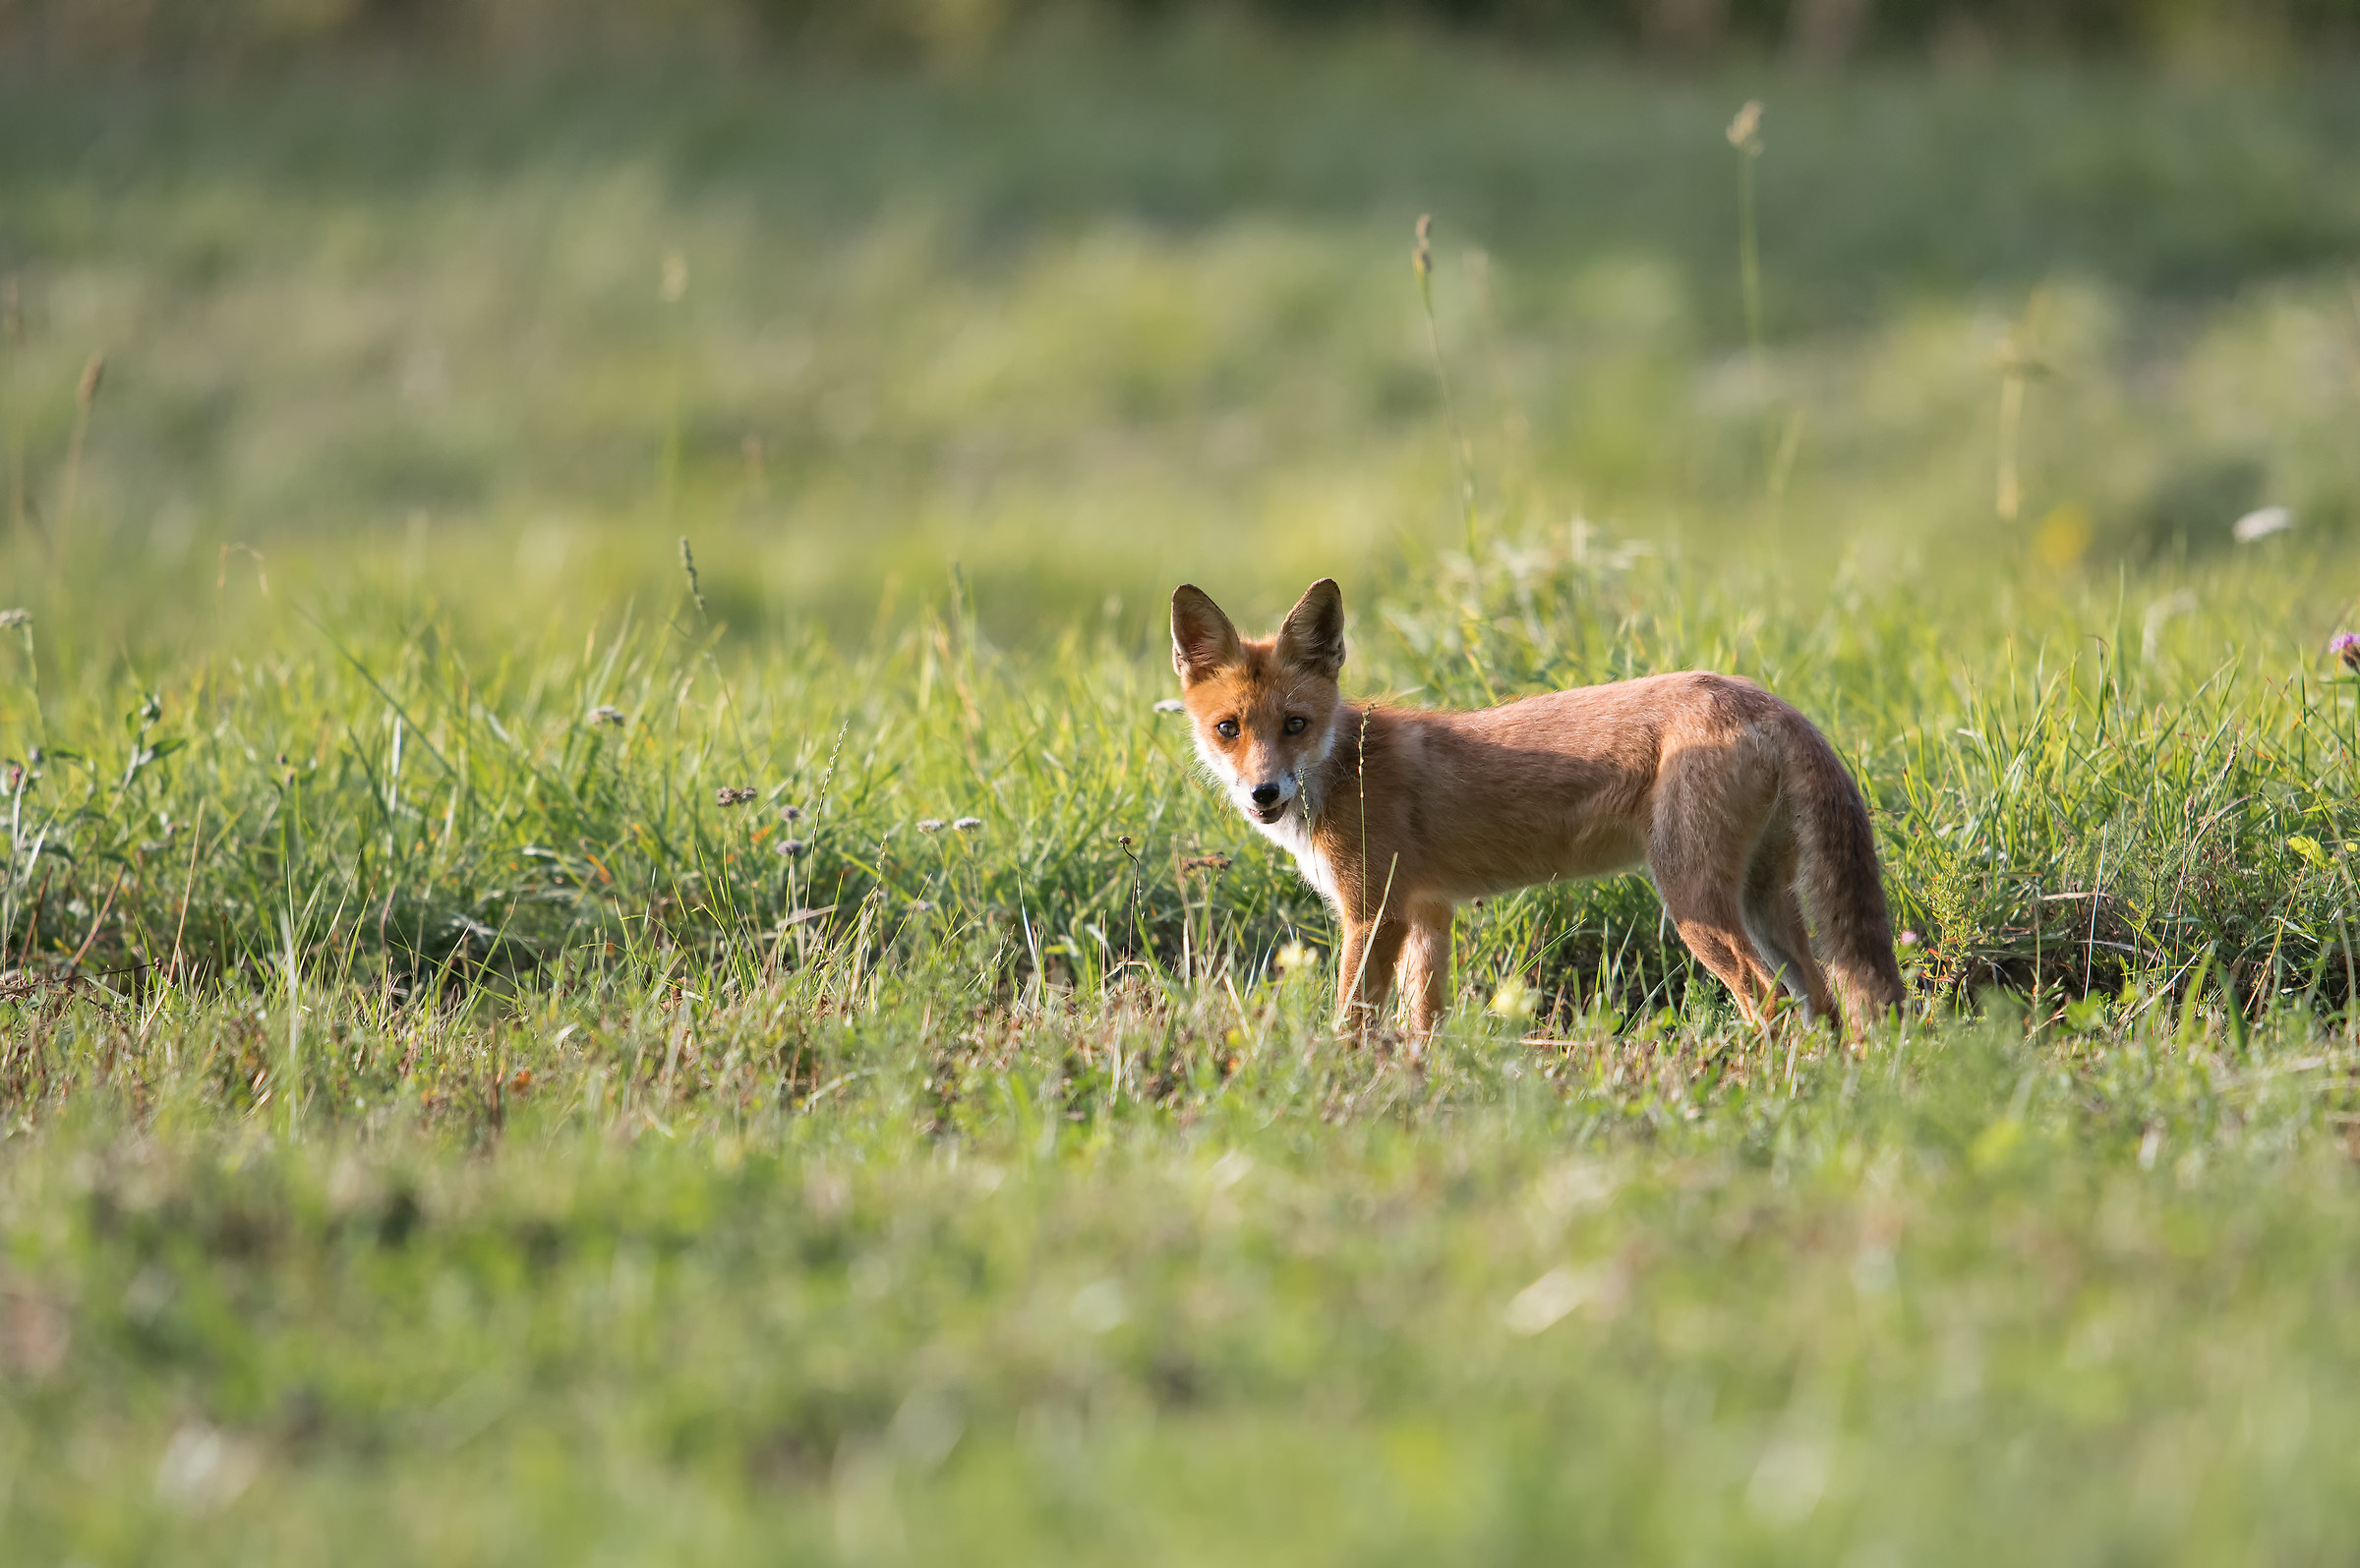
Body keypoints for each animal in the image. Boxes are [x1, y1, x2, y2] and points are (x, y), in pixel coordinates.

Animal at [1170, 577, 1906, 1041]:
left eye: (1294, 725)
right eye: (1229, 729)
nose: (1264, 794)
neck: (1346, 767)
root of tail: (1764, 698)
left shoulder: (1373, 913)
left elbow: (1351, 1019)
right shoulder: (1428, 913)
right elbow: (1423, 1025)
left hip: (1693, 902)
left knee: (1773, 1003)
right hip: (1761, 901)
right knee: (1825, 1002)